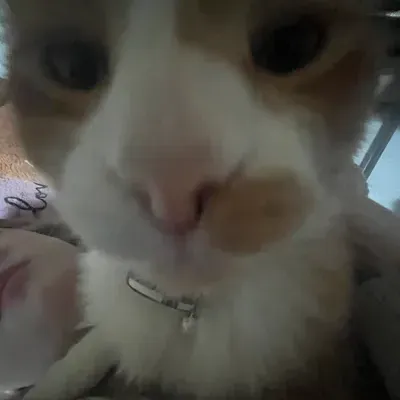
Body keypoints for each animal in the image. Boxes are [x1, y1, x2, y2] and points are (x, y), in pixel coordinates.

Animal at [5, 0, 380, 398]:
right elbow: (99, 341)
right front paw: (56, 380)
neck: (186, 309)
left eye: (293, 45)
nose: (172, 191)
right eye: (70, 65)